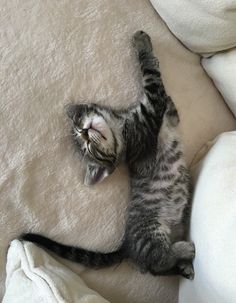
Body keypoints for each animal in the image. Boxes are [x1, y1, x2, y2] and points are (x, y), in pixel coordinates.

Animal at [21, 30, 195, 280]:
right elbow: (151, 75)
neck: (120, 126)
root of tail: (127, 247)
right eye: (86, 147)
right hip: (152, 232)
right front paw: (141, 42)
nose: (84, 132)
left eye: (79, 127)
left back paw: (185, 265)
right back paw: (183, 250)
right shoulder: (150, 112)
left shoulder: (167, 118)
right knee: (158, 264)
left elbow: (170, 106)